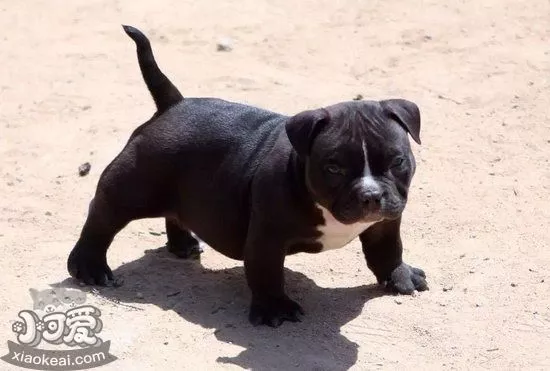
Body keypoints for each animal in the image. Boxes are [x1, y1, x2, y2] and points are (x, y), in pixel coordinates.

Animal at [68, 25, 432, 328]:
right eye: (334, 168)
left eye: (398, 161)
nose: (371, 196)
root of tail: (172, 105)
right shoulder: (267, 236)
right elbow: (267, 273)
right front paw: (275, 309)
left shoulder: (385, 223)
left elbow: (388, 250)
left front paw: (400, 277)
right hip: (132, 187)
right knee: (102, 218)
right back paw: (90, 268)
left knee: (176, 211)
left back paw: (183, 244)